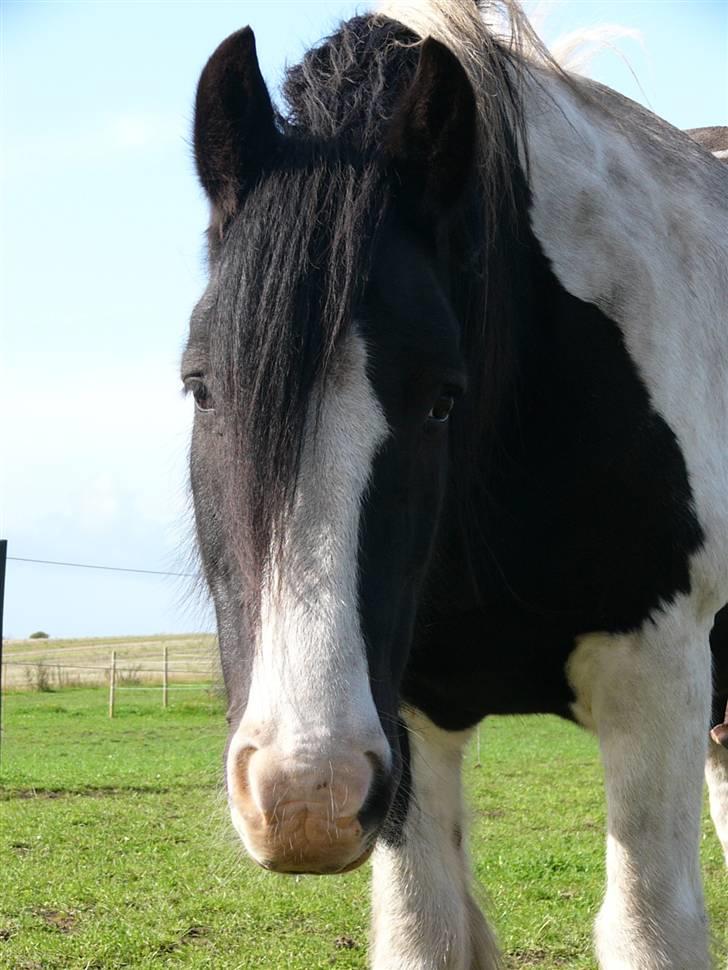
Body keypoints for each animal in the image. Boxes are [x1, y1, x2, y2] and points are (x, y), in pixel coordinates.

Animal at [183, 3, 728, 964]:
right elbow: (425, 932)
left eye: (443, 397)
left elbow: (648, 928)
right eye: (202, 386)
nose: (302, 799)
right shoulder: (403, 721)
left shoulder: (659, 677)